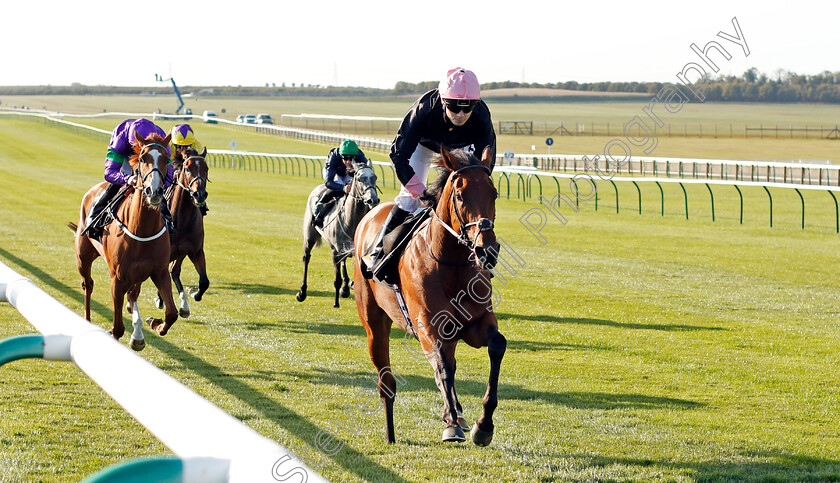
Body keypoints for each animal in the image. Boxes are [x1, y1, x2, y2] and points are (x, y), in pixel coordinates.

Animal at [69, 132, 179, 352]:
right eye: (143, 158)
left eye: (166, 159)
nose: (154, 191)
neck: (142, 229)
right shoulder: (117, 279)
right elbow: (118, 328)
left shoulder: (159, 271)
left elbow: (172, 313)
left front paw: (156, 324)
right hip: (83, 257)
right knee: (88, 284)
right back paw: (88, 320)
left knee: (133, 294)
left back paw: (138, 335)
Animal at [156, 147, 212, 318]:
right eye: (187, 168)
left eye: (206, 168)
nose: (199, 194)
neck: (182, 220)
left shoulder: (195, 251)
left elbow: (204, 282)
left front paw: (193, 293)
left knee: (174, 271)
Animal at [294, 162, 376, 306]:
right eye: (360, 179)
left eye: (375, 178)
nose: (373, 199)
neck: (351, 220)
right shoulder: (335, 252)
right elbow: (337, 279)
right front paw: (336, 302)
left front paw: (349, 286)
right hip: (309, 237)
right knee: (306, 258)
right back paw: (302, 292)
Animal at [352, 147, 506, 446]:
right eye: (460, 195)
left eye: (493, 193)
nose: (487, 250)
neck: (451, 262)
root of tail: (370, 215)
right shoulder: (427, 327)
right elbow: (442, 367)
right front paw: (452, 426)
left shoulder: (475, 324)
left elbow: (496, 346)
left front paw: (483, 425)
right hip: (374, 325)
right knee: (387, 383)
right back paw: (391, 434)